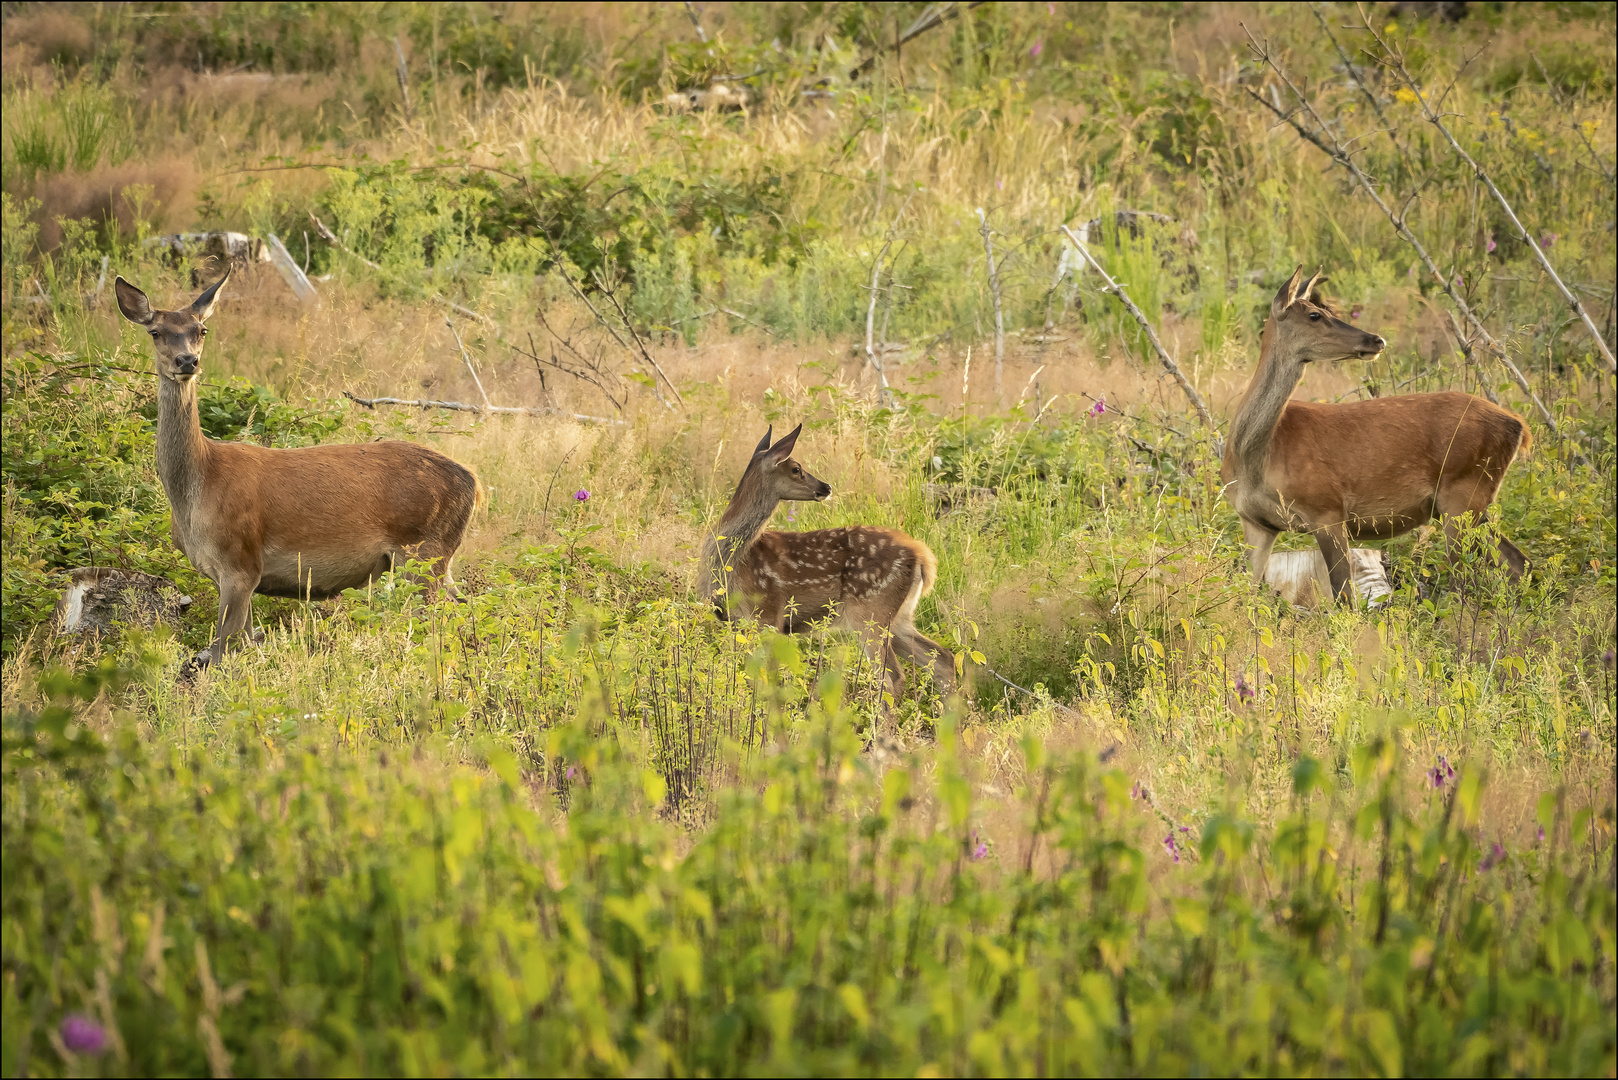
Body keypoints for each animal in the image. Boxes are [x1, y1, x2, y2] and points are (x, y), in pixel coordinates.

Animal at [118, 270, 478, 670]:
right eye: (156, 332)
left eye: (201, 329)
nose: (186, 361)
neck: (198, 488)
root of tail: (473, 482)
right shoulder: (228, 572)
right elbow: (246, 642)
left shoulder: (241, 560)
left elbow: (224, 647)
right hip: (437, 559)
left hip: (423, 550)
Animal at [698, 427, 951, 705]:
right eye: (796, 468)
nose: (826, 486)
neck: (734, 561)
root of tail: (923, 557)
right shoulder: (738, 622)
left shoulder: (768, 614)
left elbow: (769, 681)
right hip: (899, 617)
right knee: (943, 660)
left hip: (870, 611)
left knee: (892, 676)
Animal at [1223, 265, 1527, 605]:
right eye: (1315, 315)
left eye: (1326, 310)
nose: (1376, 340)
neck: (1256, 457)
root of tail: (1518, 425)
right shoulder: (1256, 522)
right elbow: (1246, 595)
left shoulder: (1327, 508)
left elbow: (1344, 596)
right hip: (1471, 503)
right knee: (1516, 562)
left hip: (1465, 492)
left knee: (1466, 580)